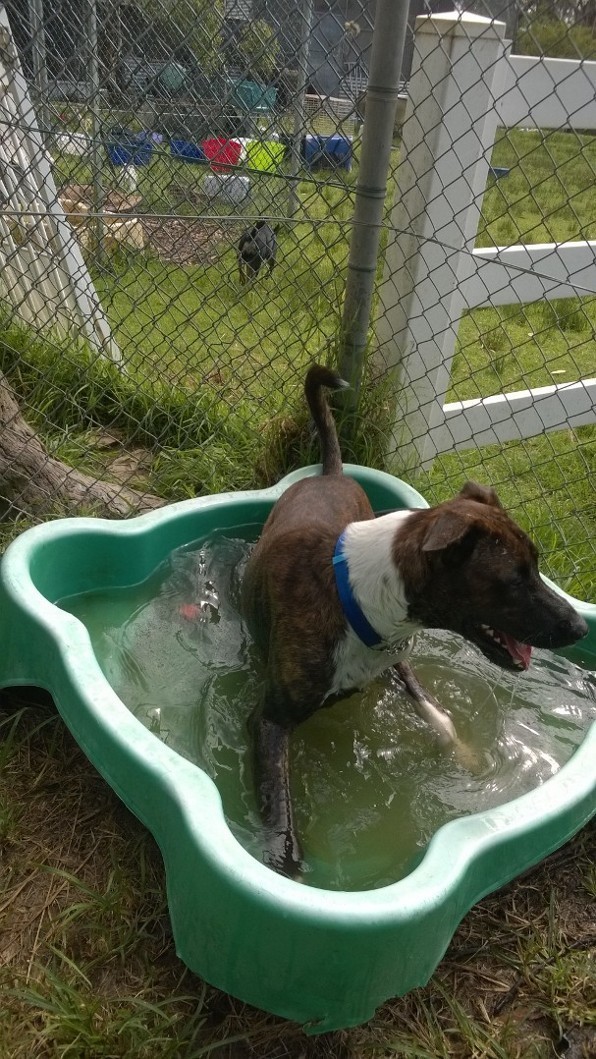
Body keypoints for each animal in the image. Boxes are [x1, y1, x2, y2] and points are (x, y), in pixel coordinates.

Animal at [242, 365, 588, 879]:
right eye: (513, 577)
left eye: (538, 563)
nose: (580, 629)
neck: (360, 595)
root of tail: (330, 473)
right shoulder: (271, 719)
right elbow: (277, 804)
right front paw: (284, 865)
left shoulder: (397, 659)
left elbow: (439, 718)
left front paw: (468, 758)